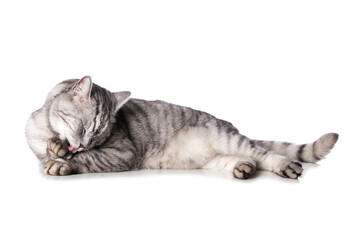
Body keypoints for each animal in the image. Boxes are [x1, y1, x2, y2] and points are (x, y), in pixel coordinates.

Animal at [26, 76, 340, 179]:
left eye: (98, 136)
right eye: (83, 128)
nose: (82, 143)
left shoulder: (121, 153)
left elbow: (86, 159)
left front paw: (63, 161)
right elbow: (49, 149)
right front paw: (57, 150)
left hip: (229, 139)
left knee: (266, 154)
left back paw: (285, 166)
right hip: (214, 159)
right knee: (248, 159)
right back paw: (243, 168)